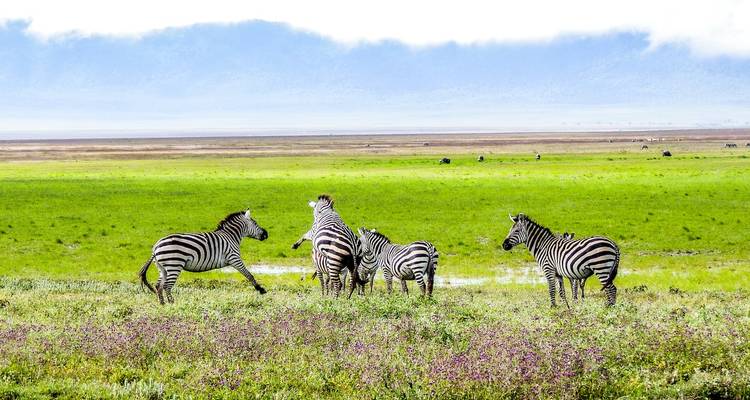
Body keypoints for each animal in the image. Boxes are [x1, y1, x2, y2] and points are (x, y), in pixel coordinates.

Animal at [139, 210, 268, 304]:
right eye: (255, 223)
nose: (266, 234)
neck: (230, 236)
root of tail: (155, 247)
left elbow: (248, 274)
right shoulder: (234, 258)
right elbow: (249, 275)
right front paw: (261, 290)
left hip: (162, 268)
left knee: (158, 286)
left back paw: (162, 304)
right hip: (174, 265)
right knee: (167, 286)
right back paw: (172, 304)